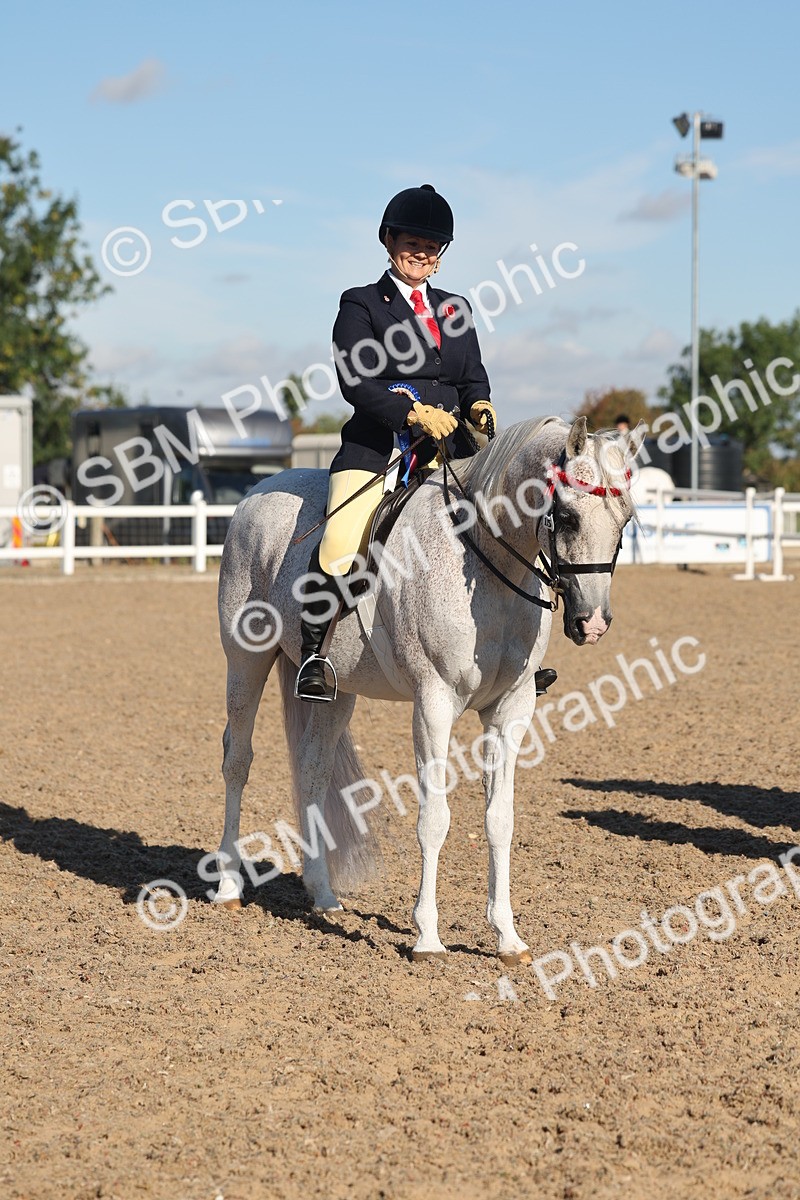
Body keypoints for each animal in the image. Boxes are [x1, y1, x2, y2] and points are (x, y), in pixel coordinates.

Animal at [214, 414, 643, 965]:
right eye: (566, 517)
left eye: (625, 521)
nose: (592, 624)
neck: (486, 563)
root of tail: (257, 493)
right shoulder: (434, 704)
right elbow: (434, 818)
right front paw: (428, 936)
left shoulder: (512, 709)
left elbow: (499, 820)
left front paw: (508, 938)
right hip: (245, 660)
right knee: (238, 758)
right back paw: (228, 886)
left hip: (336, 690)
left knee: (312, 769)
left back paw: (324, 895)